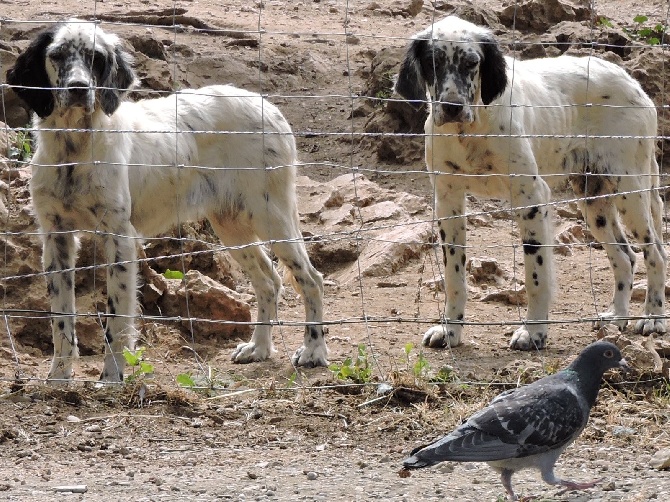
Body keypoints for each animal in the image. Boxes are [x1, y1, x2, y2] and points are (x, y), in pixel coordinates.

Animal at [5, 18, 330, 380]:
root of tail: (269, 106)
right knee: (269, 281)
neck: (72, 152)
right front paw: (59, 379)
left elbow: (117, 322)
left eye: (96, 58)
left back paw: (314, 350)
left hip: (270, 215)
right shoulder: (56, 237)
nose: (78, 88)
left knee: (311, 279)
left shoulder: (120, 238)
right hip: (231, 224)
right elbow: (62, 320)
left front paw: (112, 379)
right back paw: (258, 348)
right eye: (58, 55)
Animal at [396, 16, 668, 352]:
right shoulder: (448, 202)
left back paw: (653, 317)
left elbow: (535, 275)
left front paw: (534, 331)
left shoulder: (532, 199)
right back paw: (617, 316)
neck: (470, 132)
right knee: (625, 257)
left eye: (472, 63)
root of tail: (632, 81)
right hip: (593, 201)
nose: (452, 107)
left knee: (655, 253)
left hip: (630, 191)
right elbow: (454, 277)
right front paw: (450, 330)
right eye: (433, 63)